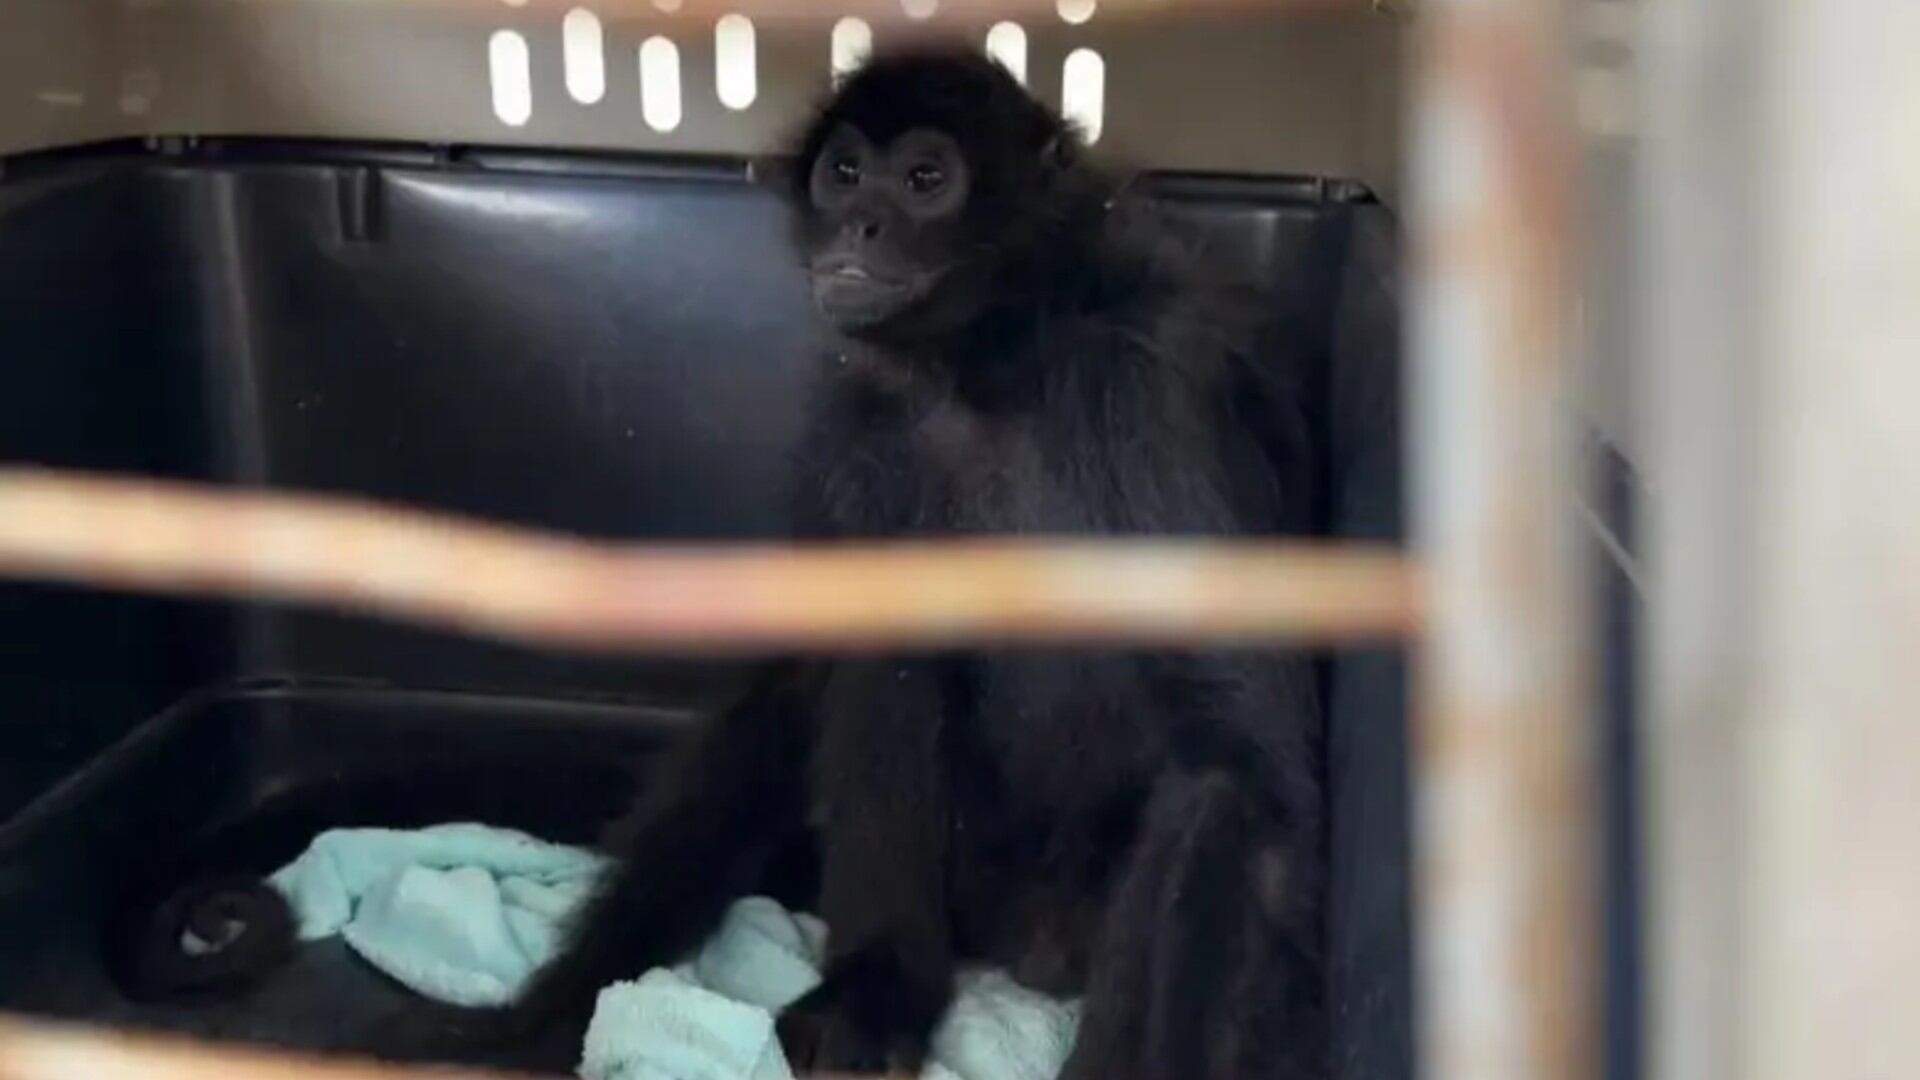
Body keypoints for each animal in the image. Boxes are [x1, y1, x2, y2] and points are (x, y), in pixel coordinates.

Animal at [110, 48, 1328, 1080]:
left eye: (927, 178)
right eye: (847, 173)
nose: (865, 221)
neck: (989, 367)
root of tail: (1021, 935)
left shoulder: (1147, 388)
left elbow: (1239, 771)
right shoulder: (864, 416)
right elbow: (833, 665)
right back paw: (864, 993)